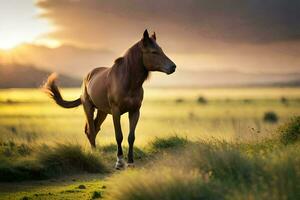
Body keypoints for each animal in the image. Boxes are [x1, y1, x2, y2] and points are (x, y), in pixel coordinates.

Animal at [43, 29, 177, 167]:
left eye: (161, 49)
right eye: (154, 52)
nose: (173, 67)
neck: (127, 82)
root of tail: (88, 77)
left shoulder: (135, 111)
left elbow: (131, 137)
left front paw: (130, 162)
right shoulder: (116, 111)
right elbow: (119, 135)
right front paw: (119, 162)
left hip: (102, 112)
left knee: (95, 129)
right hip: (88, 108)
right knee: (91, 130)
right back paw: (94, 155)